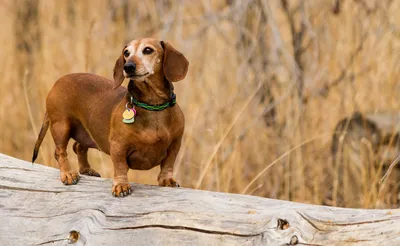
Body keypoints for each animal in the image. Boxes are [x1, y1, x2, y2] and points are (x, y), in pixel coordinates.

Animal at [32, 38, 188, 198]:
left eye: (148, 50)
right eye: (126, 53)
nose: (128, 67)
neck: (152, 106)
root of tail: (57, 82)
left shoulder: (175, 143)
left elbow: (168, 163)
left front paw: (167, 180)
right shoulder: (118, 145)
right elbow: (120, 166)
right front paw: (121, 185)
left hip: (86, 132)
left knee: (78, 147)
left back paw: (86, 170)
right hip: (61, 125)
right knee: (60, 152)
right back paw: (68, 174)